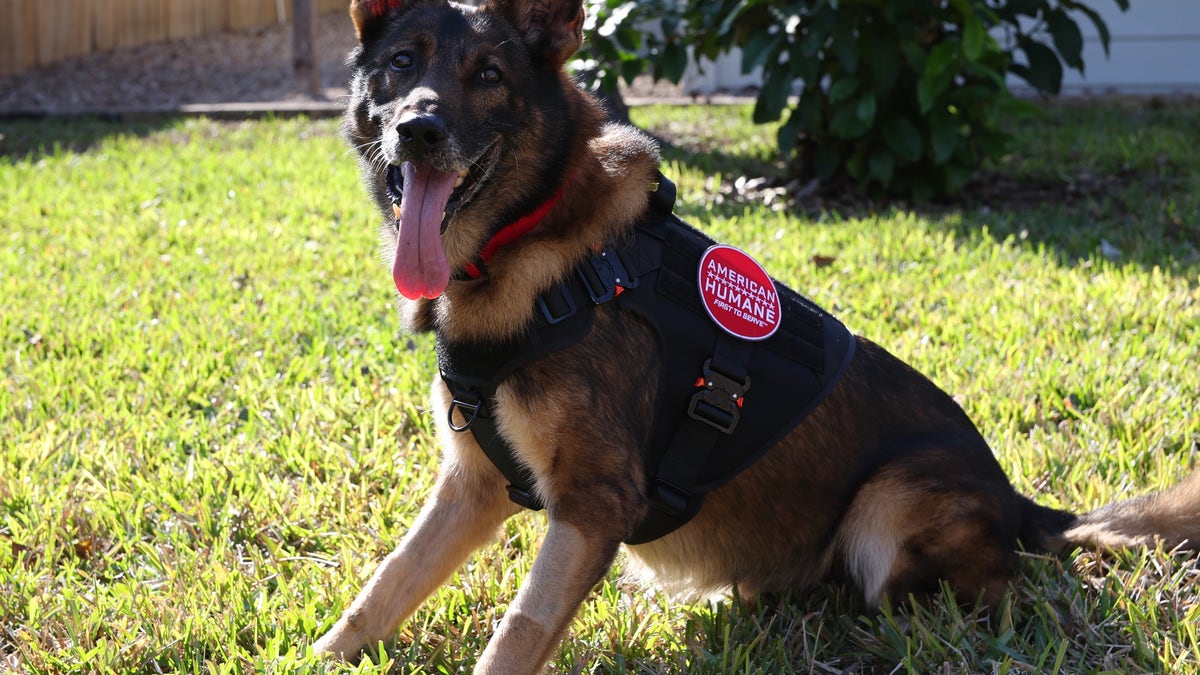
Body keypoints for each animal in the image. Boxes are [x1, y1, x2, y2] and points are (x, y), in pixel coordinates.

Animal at [312, 0, 1200, 667]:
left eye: (489, 77)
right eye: (402, 64)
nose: (419, 131)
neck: (532, 242)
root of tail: (1022, 504)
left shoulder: (593, 503)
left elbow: (519, 628)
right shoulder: (472, 486)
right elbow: (386, 582)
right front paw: (326, 654)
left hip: (889, 505)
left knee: (978, 593)